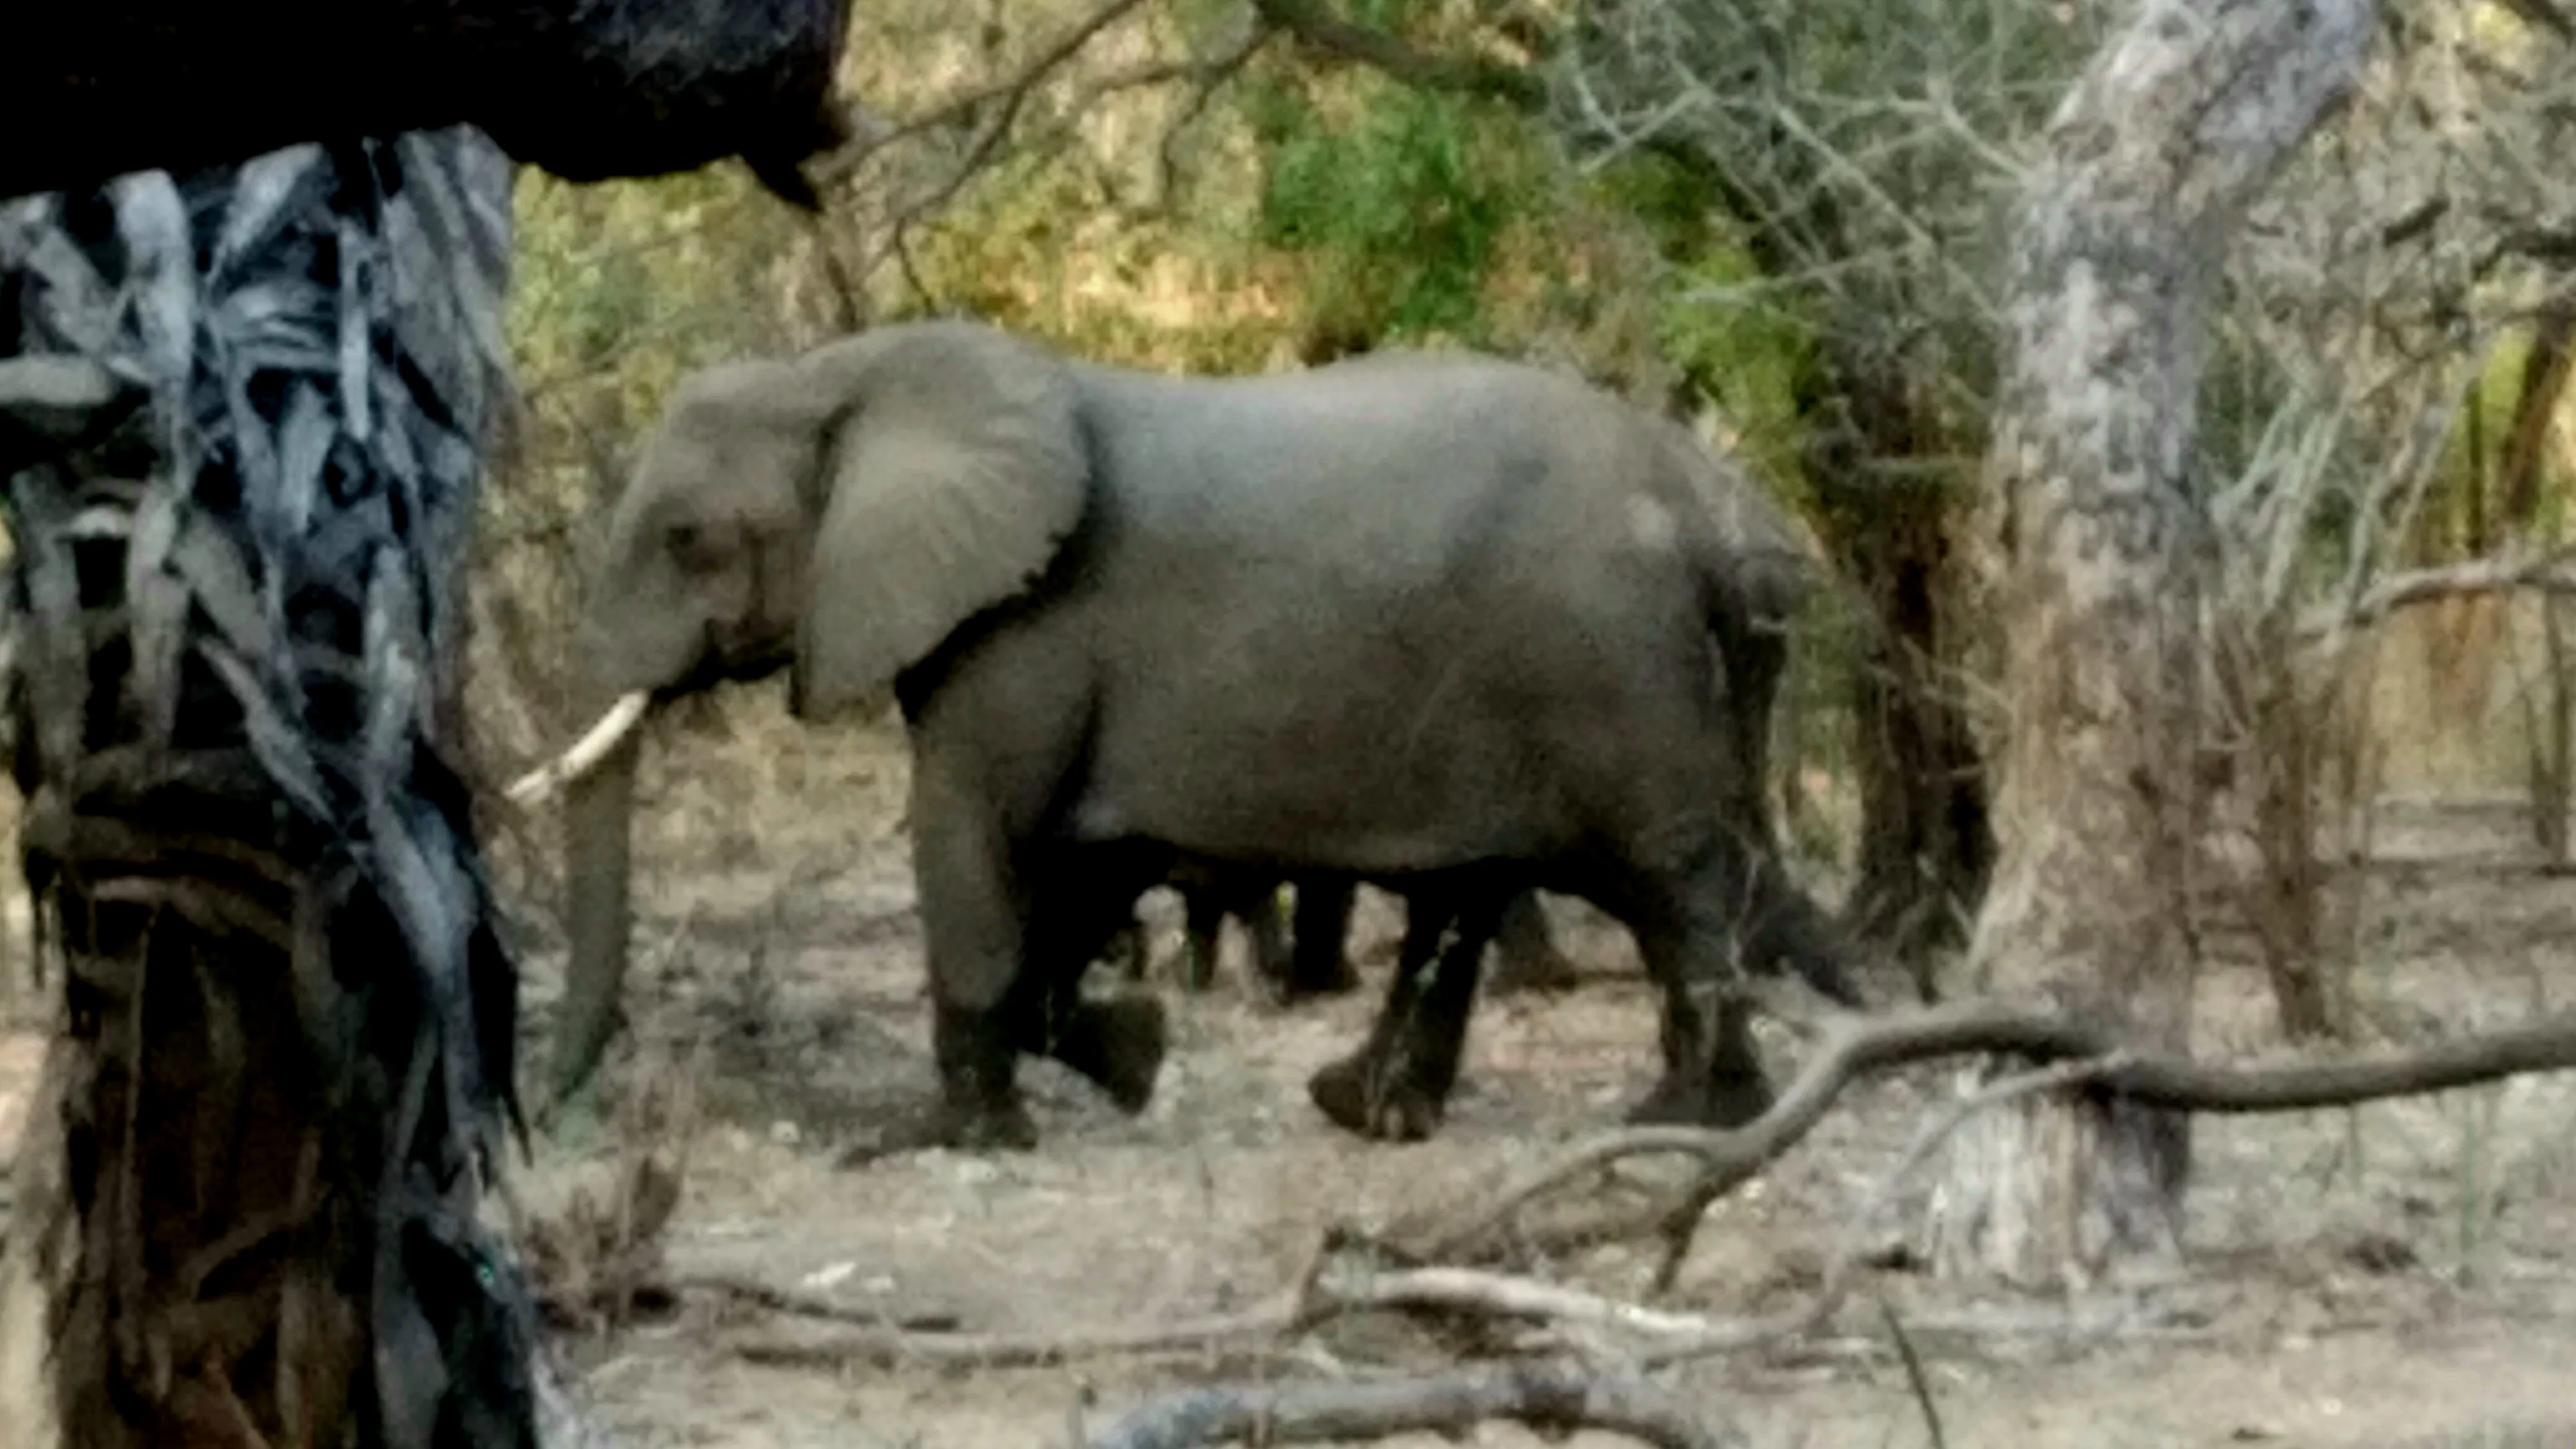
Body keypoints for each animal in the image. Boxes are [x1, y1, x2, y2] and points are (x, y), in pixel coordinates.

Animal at [565, 318, 1856, 1148]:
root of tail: (1709, 511)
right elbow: (1078, 866)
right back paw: (1365, 1112)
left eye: (685, 538)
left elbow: (973, 831)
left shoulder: (1024, 623)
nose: (556, 1103)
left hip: (1606, 659)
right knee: (1474, 891)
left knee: (1667, 875)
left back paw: (1691, 1119)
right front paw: (1133, 1058)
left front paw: (943, 1140)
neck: (846, 373)